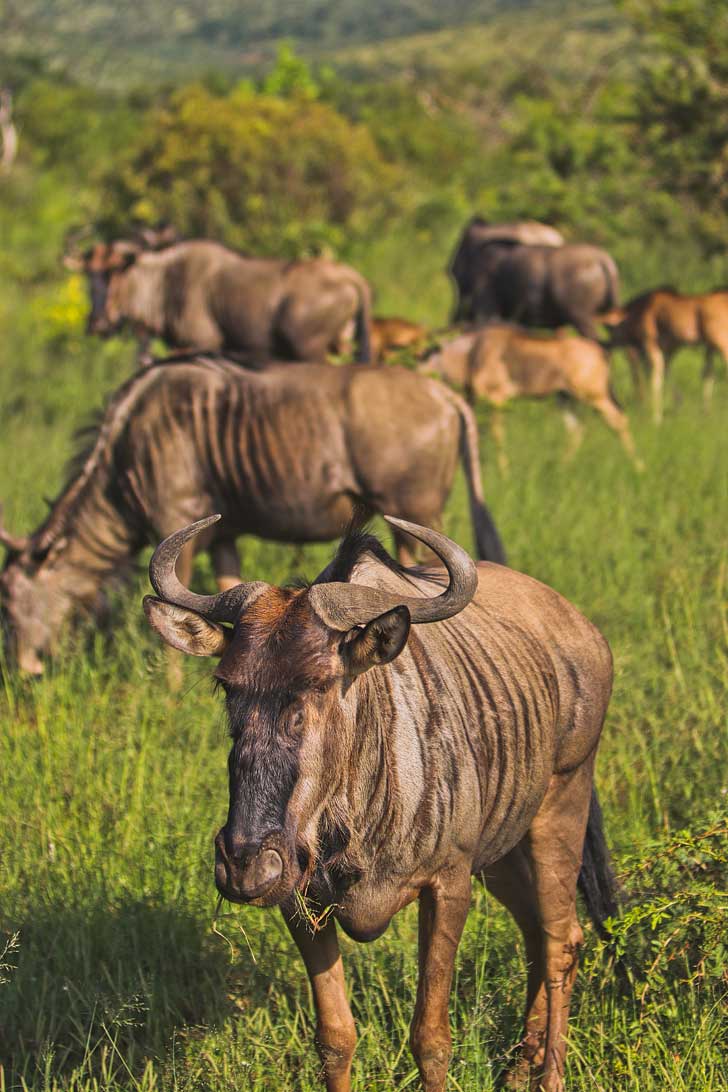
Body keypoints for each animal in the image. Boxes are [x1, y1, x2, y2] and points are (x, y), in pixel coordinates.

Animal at [140, 513, 615, 1092]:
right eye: (227, 686)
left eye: (322, 684)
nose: (246, 864)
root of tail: (582, 629)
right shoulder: (300, 901)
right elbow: (335, 1038)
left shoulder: (448, 885)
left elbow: (431, 1040)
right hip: (503, 850)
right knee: (533, 930)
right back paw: (519, 1066)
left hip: (561, 804)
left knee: (560, 941)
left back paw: (548, 1075)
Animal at [419, 327, 641, 473]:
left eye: (425, 355)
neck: (471, 352)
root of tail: (600, 352)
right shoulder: (473, 400)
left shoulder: (497, 399)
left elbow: (496, 434)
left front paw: (504, 472)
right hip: (565, 399)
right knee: (576, 429)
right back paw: (561, 467)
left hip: (594, 396)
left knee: (619, 421)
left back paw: (638, 466)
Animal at [602, 286, 728, 421]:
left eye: (611, 329)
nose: (606, 344)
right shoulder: (668, 350)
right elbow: (666, 374)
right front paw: (677, 403)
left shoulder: (651, 345)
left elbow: (655, 380)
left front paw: (656, 417)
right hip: (711, 347)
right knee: (709, 374)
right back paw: (705, 412)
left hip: (720, 343)